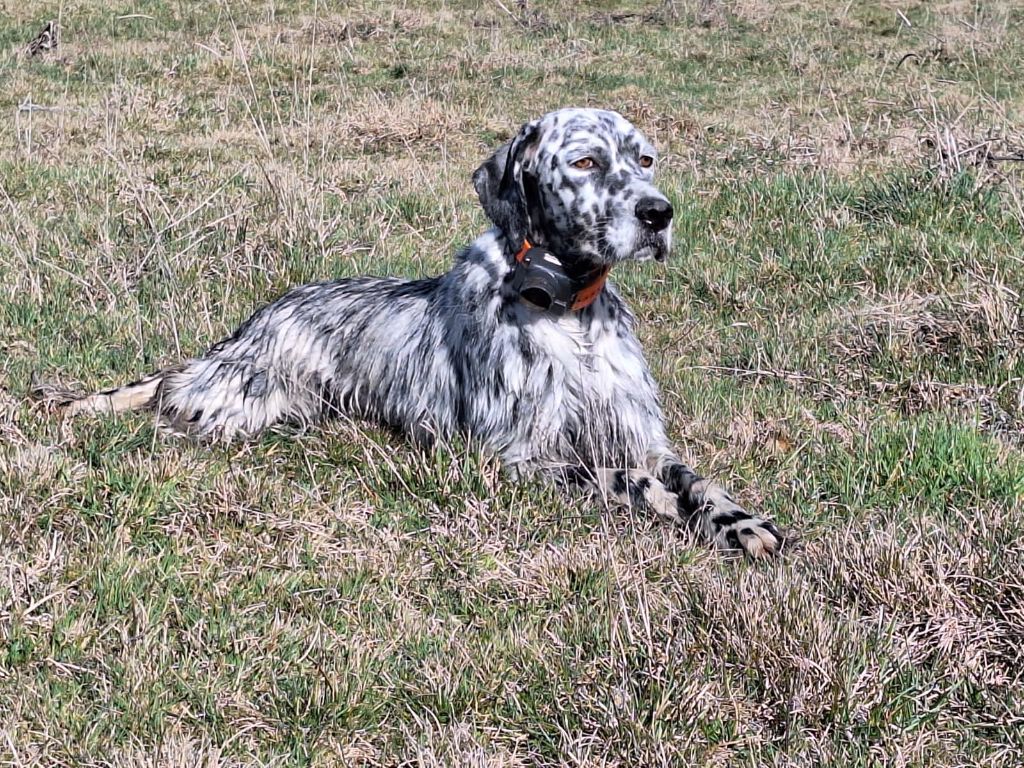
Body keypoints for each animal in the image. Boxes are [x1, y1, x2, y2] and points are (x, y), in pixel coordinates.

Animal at [37, 108, 782, 561]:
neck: (571, 314)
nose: (659, 214)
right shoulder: (515, 456)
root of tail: (247, 326)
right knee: (170, 408)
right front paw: (668, 505)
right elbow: (621, 477)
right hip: (245, 400)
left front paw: (741, 522)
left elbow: (696, 479)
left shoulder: (641, 434)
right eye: (586, 163)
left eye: (645, 159)